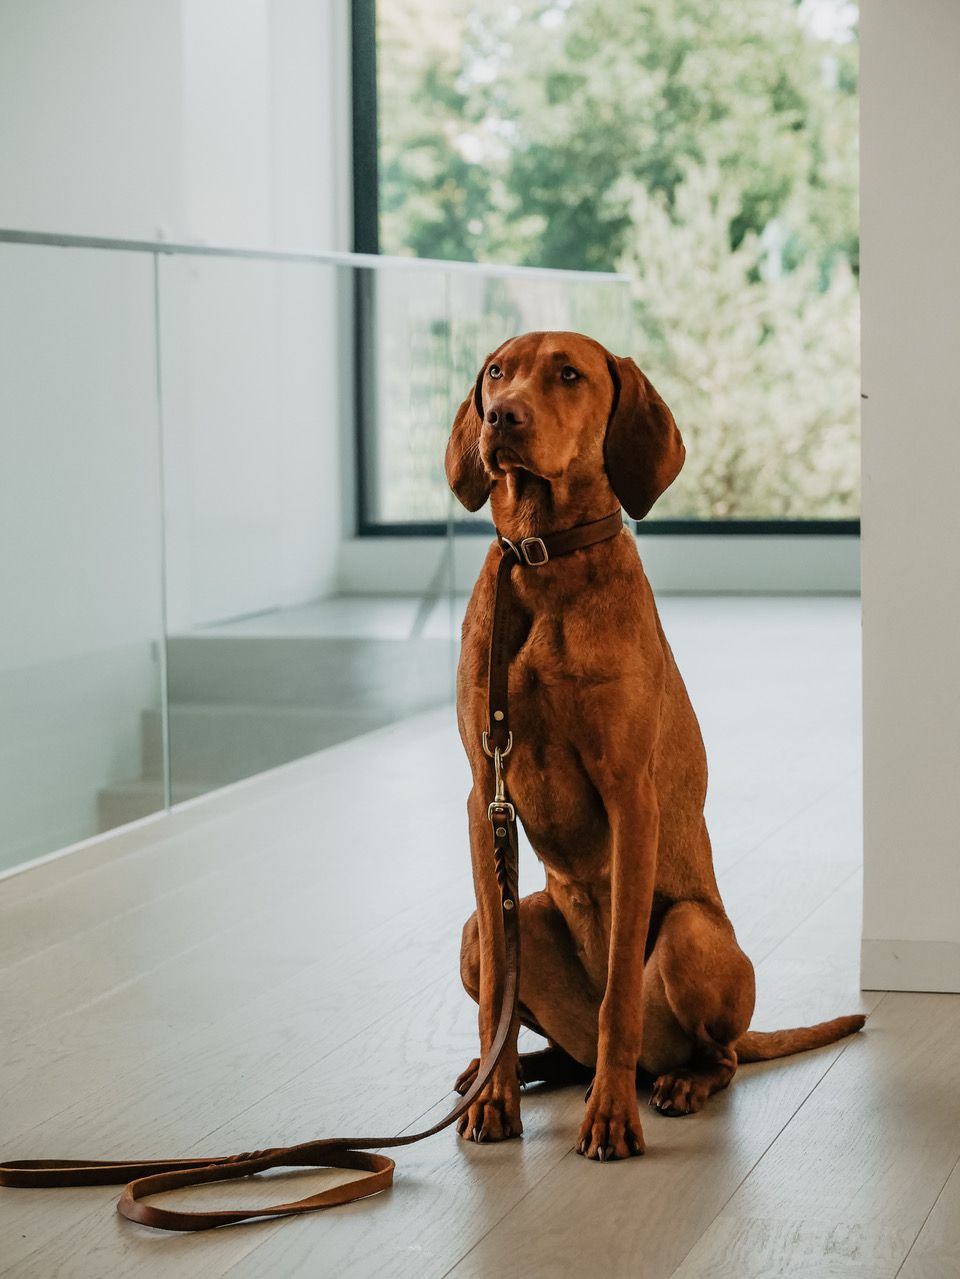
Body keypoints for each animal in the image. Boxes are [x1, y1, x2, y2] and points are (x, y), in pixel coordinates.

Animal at [447, 329, 869, 1161]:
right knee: (553, 1034)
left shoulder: (628, 797)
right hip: (484, 930)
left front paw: (612, 1119)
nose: (502, 417)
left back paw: (673, 1083)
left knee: (712, 1051)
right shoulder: (486, 794)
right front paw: (495, 1098)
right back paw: (504, 1071)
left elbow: (619, 996)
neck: (543, 557)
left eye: (568, 373)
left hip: (688, 935)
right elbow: (500, 999)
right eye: (496, 372)